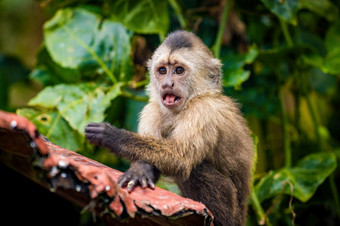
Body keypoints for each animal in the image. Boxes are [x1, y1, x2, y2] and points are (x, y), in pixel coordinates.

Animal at [86, 30, 254, 226]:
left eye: (179, 70)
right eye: (162, 70)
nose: (167, 84)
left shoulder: (203, 110)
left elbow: (180, 160)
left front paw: (112, 136)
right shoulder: (152, 109)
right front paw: (140, 171)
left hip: (233, 216)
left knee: (196, 168)